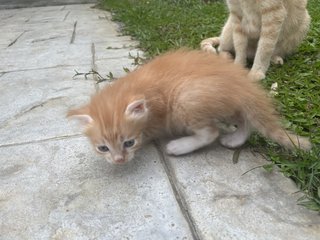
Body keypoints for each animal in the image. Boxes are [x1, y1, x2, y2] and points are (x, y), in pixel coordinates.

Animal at [67, 49, 310, 164]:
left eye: (129, 143)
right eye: (103, 148)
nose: (119, 160)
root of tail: (244, 85)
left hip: (187, 98)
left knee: (211, 131)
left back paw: (180, 146)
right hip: (225, 103)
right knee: (245, 119)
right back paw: (235, 139)